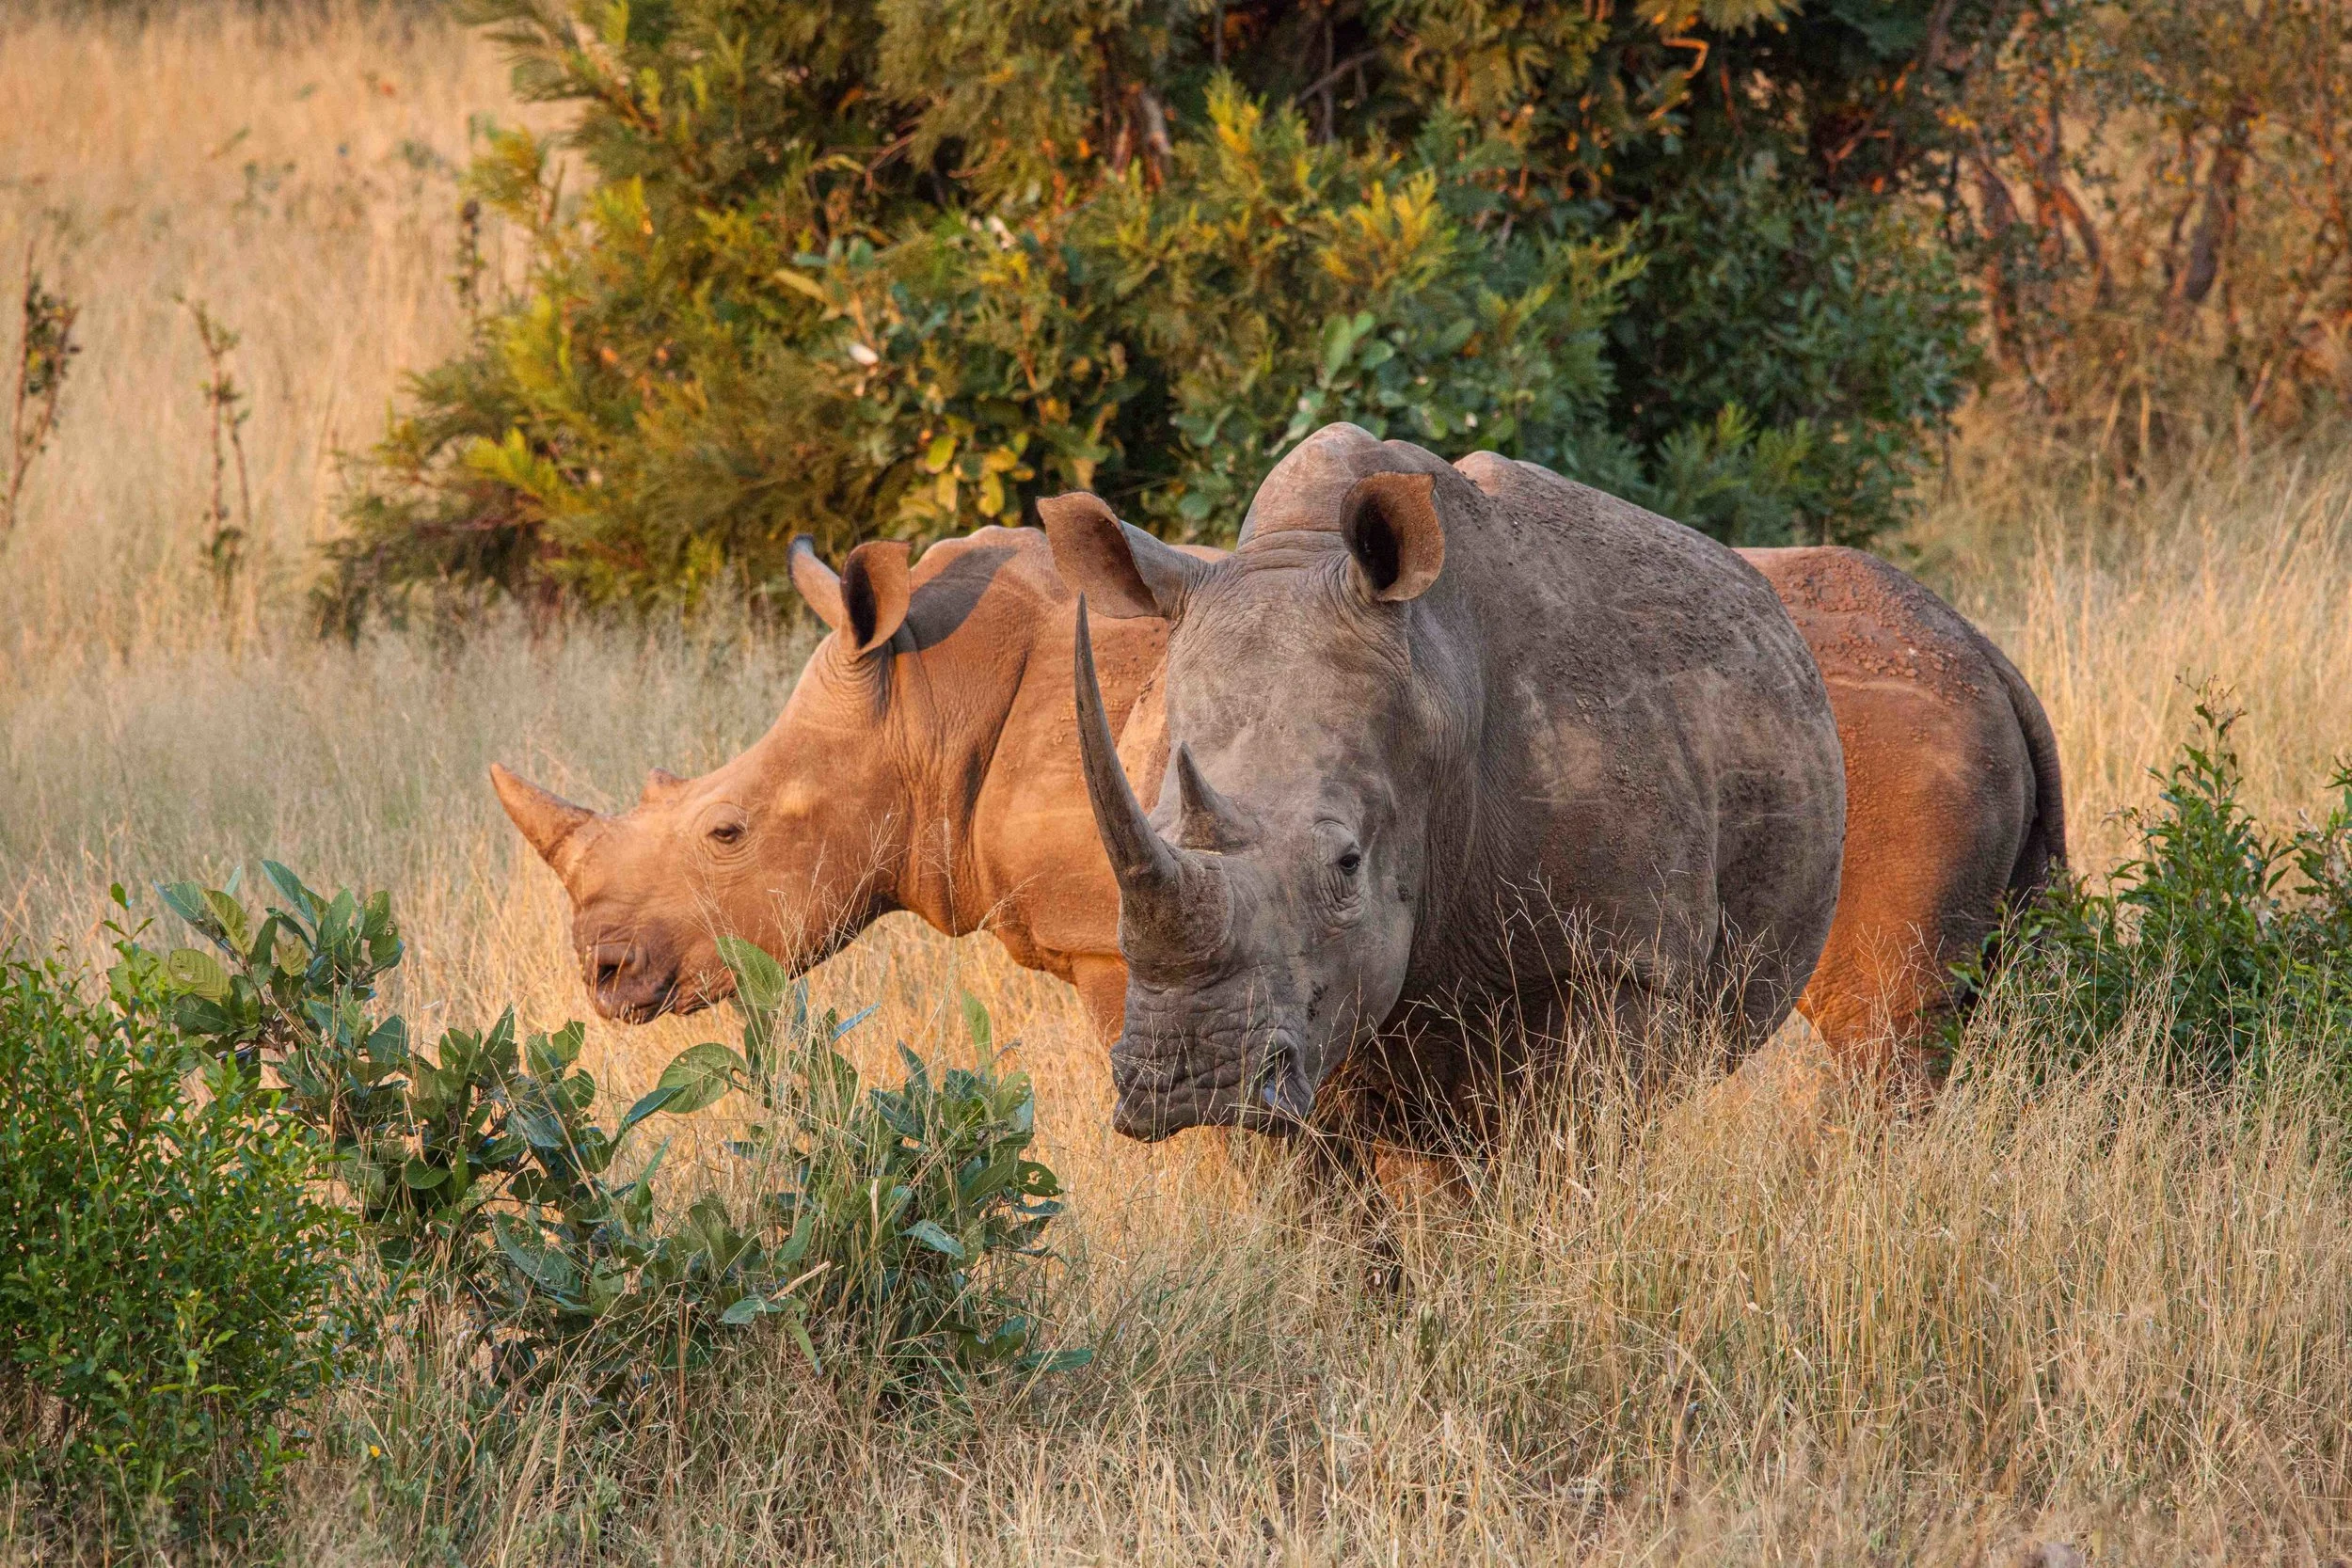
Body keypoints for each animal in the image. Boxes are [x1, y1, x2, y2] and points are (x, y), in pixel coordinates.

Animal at [1043, 425, 1852, 1142]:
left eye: (1348, 863)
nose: (1191, 1083)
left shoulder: (1625, 958)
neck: (1433, 679)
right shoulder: (1308, 1006)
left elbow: (1565, 1148)